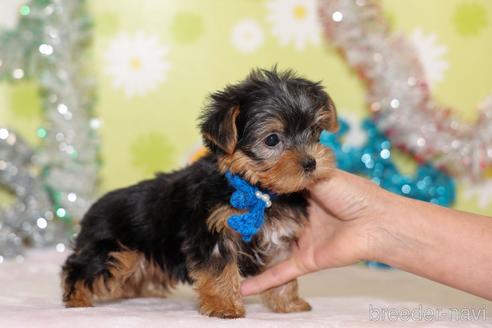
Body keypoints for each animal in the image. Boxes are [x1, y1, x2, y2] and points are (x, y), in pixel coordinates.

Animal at [61, 68, 338, 318]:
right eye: (272, 139)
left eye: (315, 132)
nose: (311, 163)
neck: (256, 188)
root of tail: (93, 209)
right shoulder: (212, 233)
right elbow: (219, 270)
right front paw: (225, 306)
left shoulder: (279, 238)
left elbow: (283, 273)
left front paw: (288, 303)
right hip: (112, 248)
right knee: (81, 267)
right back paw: (77, 300)